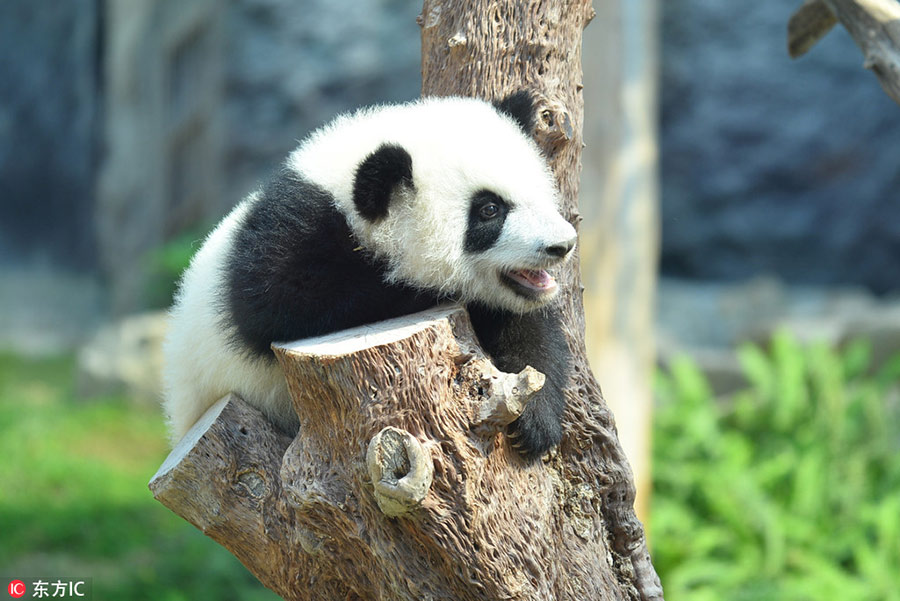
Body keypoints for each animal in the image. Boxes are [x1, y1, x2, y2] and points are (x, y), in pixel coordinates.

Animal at [162, 91, 577, 461]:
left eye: (538, 191)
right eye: (489, 209)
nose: (563, 245)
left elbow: (531, 333)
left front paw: (535, 419)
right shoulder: (287, 238)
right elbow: (275, 305)